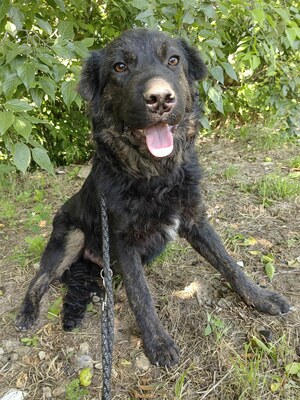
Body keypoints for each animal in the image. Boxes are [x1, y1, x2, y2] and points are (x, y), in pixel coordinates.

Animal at [14, 27, 290, 366]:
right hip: (72, 236)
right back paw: (27, 312)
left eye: (173, 60)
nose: (160, 99)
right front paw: (157, 342)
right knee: (40, 278)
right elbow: (141, 295)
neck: (156, 176)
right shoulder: (122, 241)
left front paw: (260, 298)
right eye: (120, 67)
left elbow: (229, 264)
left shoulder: (196, 221)